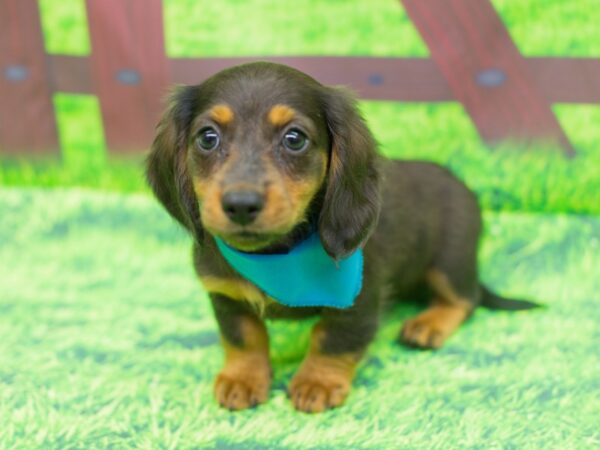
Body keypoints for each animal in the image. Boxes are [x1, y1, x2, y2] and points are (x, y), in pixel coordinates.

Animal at [146, 61, 540, 414]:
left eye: (294, 138)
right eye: (207, 137)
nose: (241, 204)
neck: (276, 256)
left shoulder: (359, 299)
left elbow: (332, 339)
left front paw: (317, 382)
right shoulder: (225, 295)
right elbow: (243, 337)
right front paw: (243, 379)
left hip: (450, 261)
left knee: (465, 299)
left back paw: (428, 324)